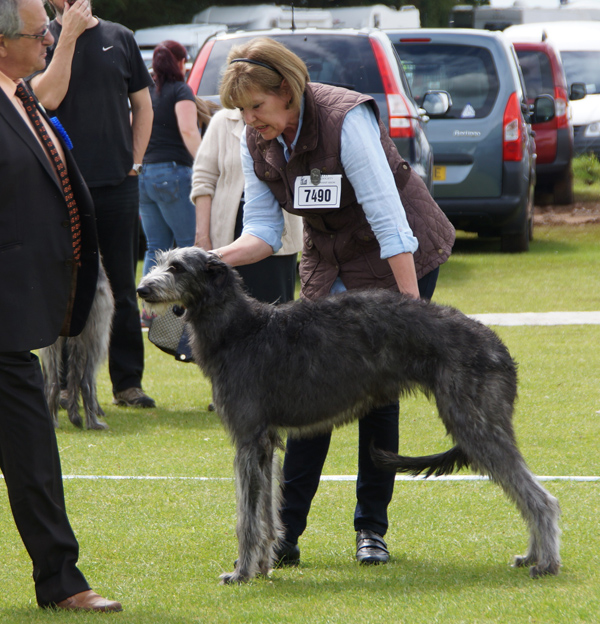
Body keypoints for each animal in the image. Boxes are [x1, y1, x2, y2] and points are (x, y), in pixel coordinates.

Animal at [137, 247, 564, 584]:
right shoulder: (265, 441)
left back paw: (546, 563)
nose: (142, 289)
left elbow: (247, 516)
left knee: (539, 497)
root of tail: (497, 345)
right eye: (159, 262)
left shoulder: (247, 438)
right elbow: (266, 512)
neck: (240, 329)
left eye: (178, 267)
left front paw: (241, 572)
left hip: (475, 421)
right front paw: (261, 567)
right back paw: (533, 554)